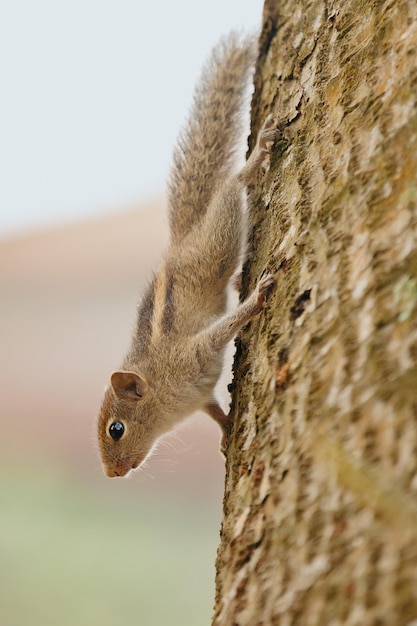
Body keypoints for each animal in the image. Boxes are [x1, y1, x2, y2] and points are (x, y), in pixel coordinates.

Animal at [97, 33, 278, 478]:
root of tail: (182, 241)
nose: (112, 474)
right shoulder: (200, 395)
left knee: (232, 187)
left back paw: (256, 157)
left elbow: (224, 327)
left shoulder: (192, 354)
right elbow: (214, 411)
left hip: (218, 239)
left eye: (116, 429)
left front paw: (259, 298)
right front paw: (228, 433)